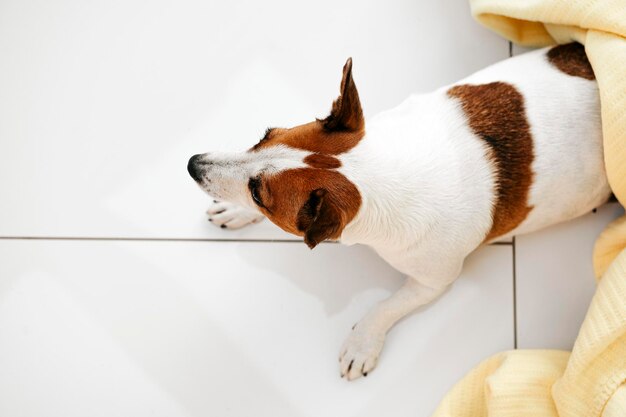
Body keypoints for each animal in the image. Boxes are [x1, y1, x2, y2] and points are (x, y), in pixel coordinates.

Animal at [186, 43, 608, 380]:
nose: (192, 164)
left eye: (259, 194)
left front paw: (362, 343)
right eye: (264, 136)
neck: (381, 173)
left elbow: (387, 306)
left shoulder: (433, 281)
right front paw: (235, 210)